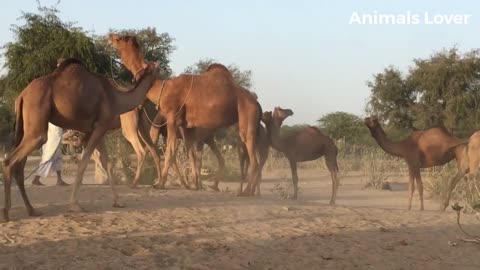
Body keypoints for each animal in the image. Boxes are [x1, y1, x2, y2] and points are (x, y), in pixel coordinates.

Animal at [2, 53, 159, 221]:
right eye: (156, 69)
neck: (116, 98)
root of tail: (22, 96)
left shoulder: (96, 129)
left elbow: (105, 163)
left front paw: (118, 201)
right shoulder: (100, 127)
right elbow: (85, 163)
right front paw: (75, 205)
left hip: (24, 129)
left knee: (18, 166)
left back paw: (32, 210)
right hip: (36, 127)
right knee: (11, 160)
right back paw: (6, 213)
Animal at [109, 33, 262, 195]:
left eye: (120, 38)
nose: (109, 36)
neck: (163, 89)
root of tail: (257, 103)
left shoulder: (172, 118)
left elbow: (170, 152)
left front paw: (161, 184)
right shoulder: (186, 127)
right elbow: (191, 154)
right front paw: (194, 185)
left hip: (248, 118)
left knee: (253, 159)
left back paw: (246, 192)